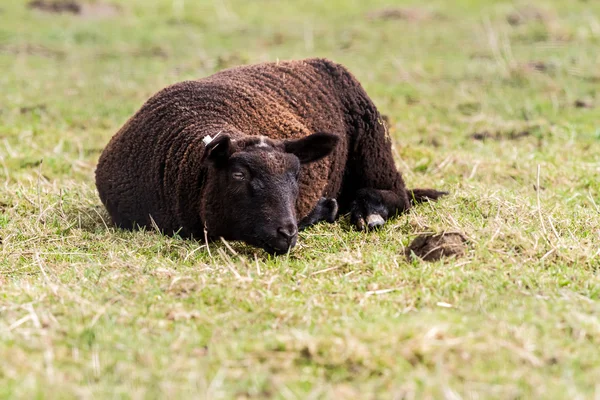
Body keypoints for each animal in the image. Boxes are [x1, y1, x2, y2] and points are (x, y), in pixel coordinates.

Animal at [95, 57, 446, 253]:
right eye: (238, 175)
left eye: (297, 175)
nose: (286, 234)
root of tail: (314, 60)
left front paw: (324, 211)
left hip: (374, 146)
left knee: (397, 194)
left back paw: (368, 211)